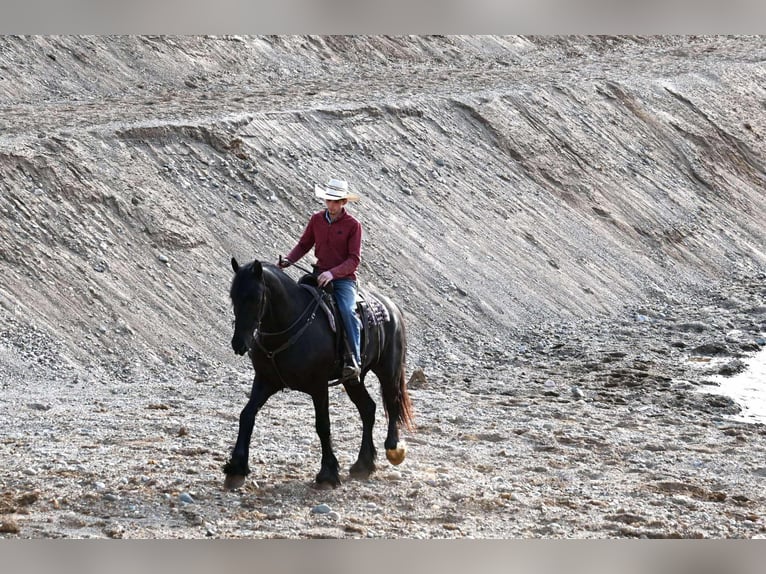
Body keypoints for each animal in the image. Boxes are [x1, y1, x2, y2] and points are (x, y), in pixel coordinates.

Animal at [223, 257, 414, 490]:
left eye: (255, 297)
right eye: (233, 296)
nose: (239, 344)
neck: (288, 325)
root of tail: (392, 307)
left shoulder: (319, 386)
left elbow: (323, 425)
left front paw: (328, 474)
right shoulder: (265, 381)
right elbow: (247, 415)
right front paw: (236, 468)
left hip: (388, 369)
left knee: (393, 402)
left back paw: (393, 449)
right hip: (353, 380)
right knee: (368, 409)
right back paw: (363, 464)